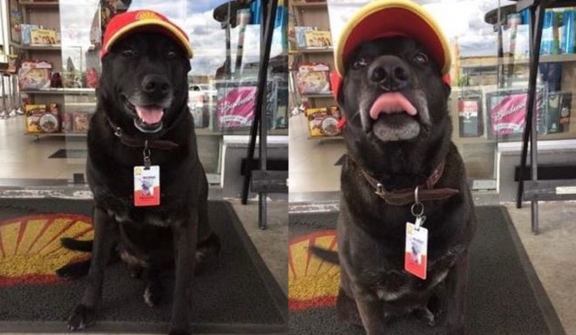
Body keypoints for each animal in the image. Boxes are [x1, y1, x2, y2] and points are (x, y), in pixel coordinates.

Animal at [64, 10, 219, 335]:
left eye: (172, 54)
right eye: (128, 52)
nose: (157, 86)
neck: (142, 145)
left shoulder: (185, 224)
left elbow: (183, 285)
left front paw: (179, 327)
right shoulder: (102, 210)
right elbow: (96, 266)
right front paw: (87, 307)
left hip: (207, 247)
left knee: (157, 268)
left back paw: (153, 287)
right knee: (107, 255)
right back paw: (73, 268)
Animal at [312, 1, 480, 334]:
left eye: (420, 58)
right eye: (359, 63)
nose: (388, 71)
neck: (406, 185)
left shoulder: (459, 265)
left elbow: (454, 318)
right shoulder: (366, 294)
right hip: (348, 305)